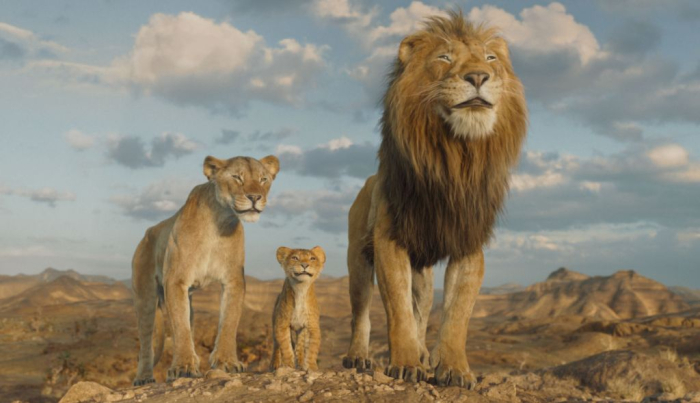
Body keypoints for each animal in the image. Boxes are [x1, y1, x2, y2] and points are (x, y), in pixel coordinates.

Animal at [131, 155, 280, 385]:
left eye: (263, 179)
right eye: (237, 177)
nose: (255, 197)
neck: (219, 221)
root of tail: (147, 234)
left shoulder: (233, 280)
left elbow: (229, 321)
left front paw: (227, 361)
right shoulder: (176, 280)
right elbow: (180, 327)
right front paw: (183, 367)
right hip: (145, 297)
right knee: (147, 341)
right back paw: (144, 377)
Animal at [342, 12, 527, 388]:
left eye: (491, 59)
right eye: (444, 58)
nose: (478, 77)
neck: (455, 158)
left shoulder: (468, 243)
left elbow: (457, 314)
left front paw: (454, 369)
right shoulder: (389, 240)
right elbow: (397, 310)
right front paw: (405, 363)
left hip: (423, 274)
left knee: (422, 310)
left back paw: (425, 353)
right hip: (357, 259)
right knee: (361, 311)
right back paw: (358, 356)